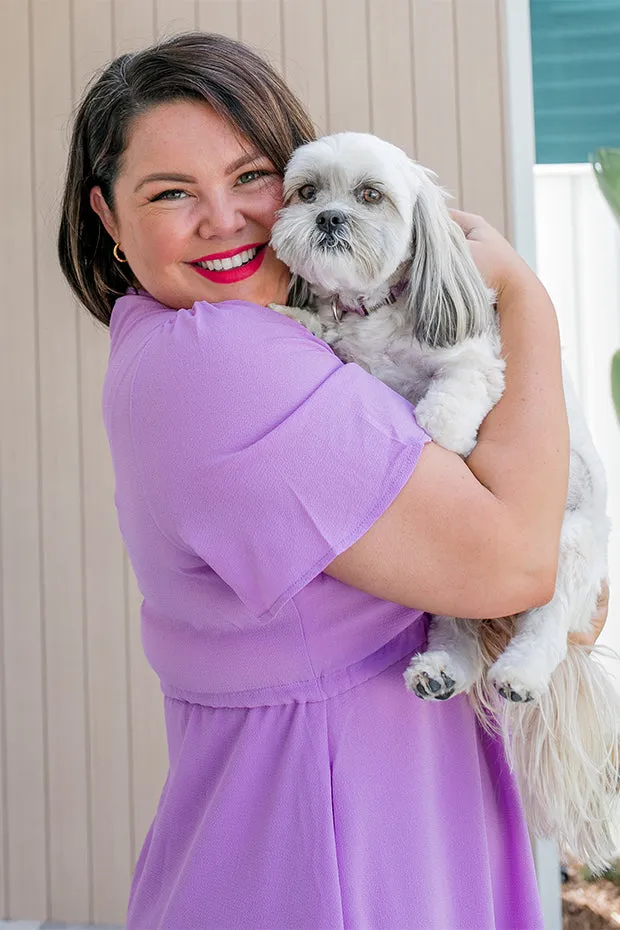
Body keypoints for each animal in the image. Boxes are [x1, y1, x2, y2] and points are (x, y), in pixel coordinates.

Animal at [270, 130, 620, 872]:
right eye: (307, 192)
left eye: (370, 195)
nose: (330, 219)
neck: (374, 314)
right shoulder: (352, 348)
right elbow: (326, 335)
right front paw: (290, 315)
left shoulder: (478, 360)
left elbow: (458, 383)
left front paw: (439, 430)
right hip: (453, 587)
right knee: (455, 629)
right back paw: (441, 670)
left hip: (569, 546)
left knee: (545, 625)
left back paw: (520, 673)